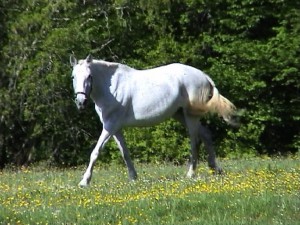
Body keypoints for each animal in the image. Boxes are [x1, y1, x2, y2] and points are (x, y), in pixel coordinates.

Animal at [69, 54, 236, 186]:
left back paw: (190, 174)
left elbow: (95, 152)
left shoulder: (110, 126)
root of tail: (203, 76)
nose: (81, 102)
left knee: (195, 142)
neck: (112, 89)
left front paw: (84, 181)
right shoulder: (115, 128)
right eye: (73, 77)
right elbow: (125, 153)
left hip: (190, 117)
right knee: (206, 135)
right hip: (180, 115)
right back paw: (215, 169)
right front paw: (133, 178)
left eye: (89, 76)